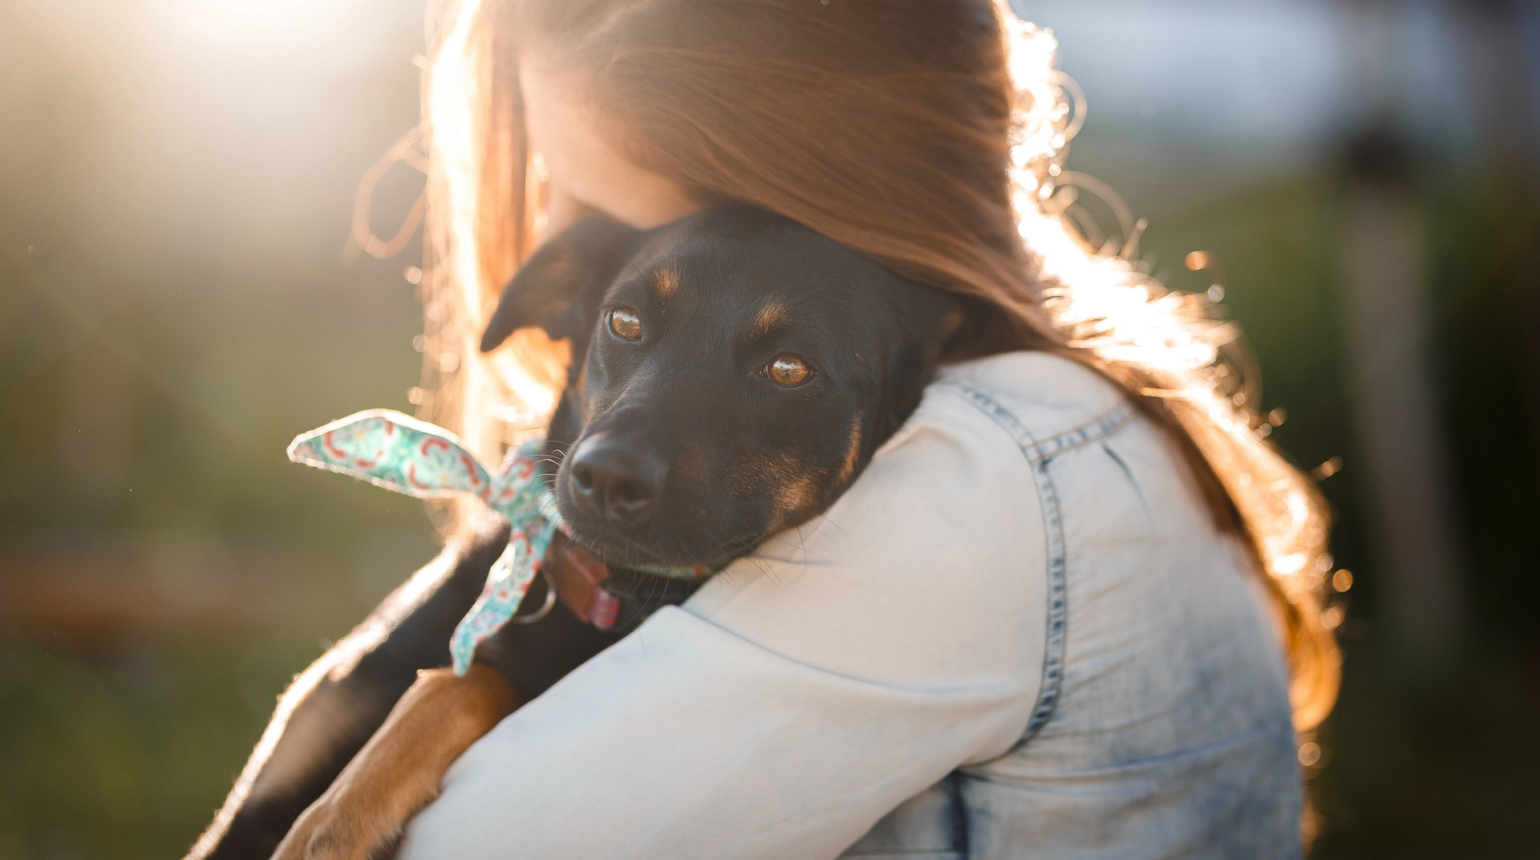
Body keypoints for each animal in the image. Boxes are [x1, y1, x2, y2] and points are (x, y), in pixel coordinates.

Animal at [189, 204, 960, 856]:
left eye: (789, 369)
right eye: (624, 321)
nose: (606, 477)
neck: (596, 589)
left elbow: (460, 685)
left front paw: (339, 817)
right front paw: (342, 812)